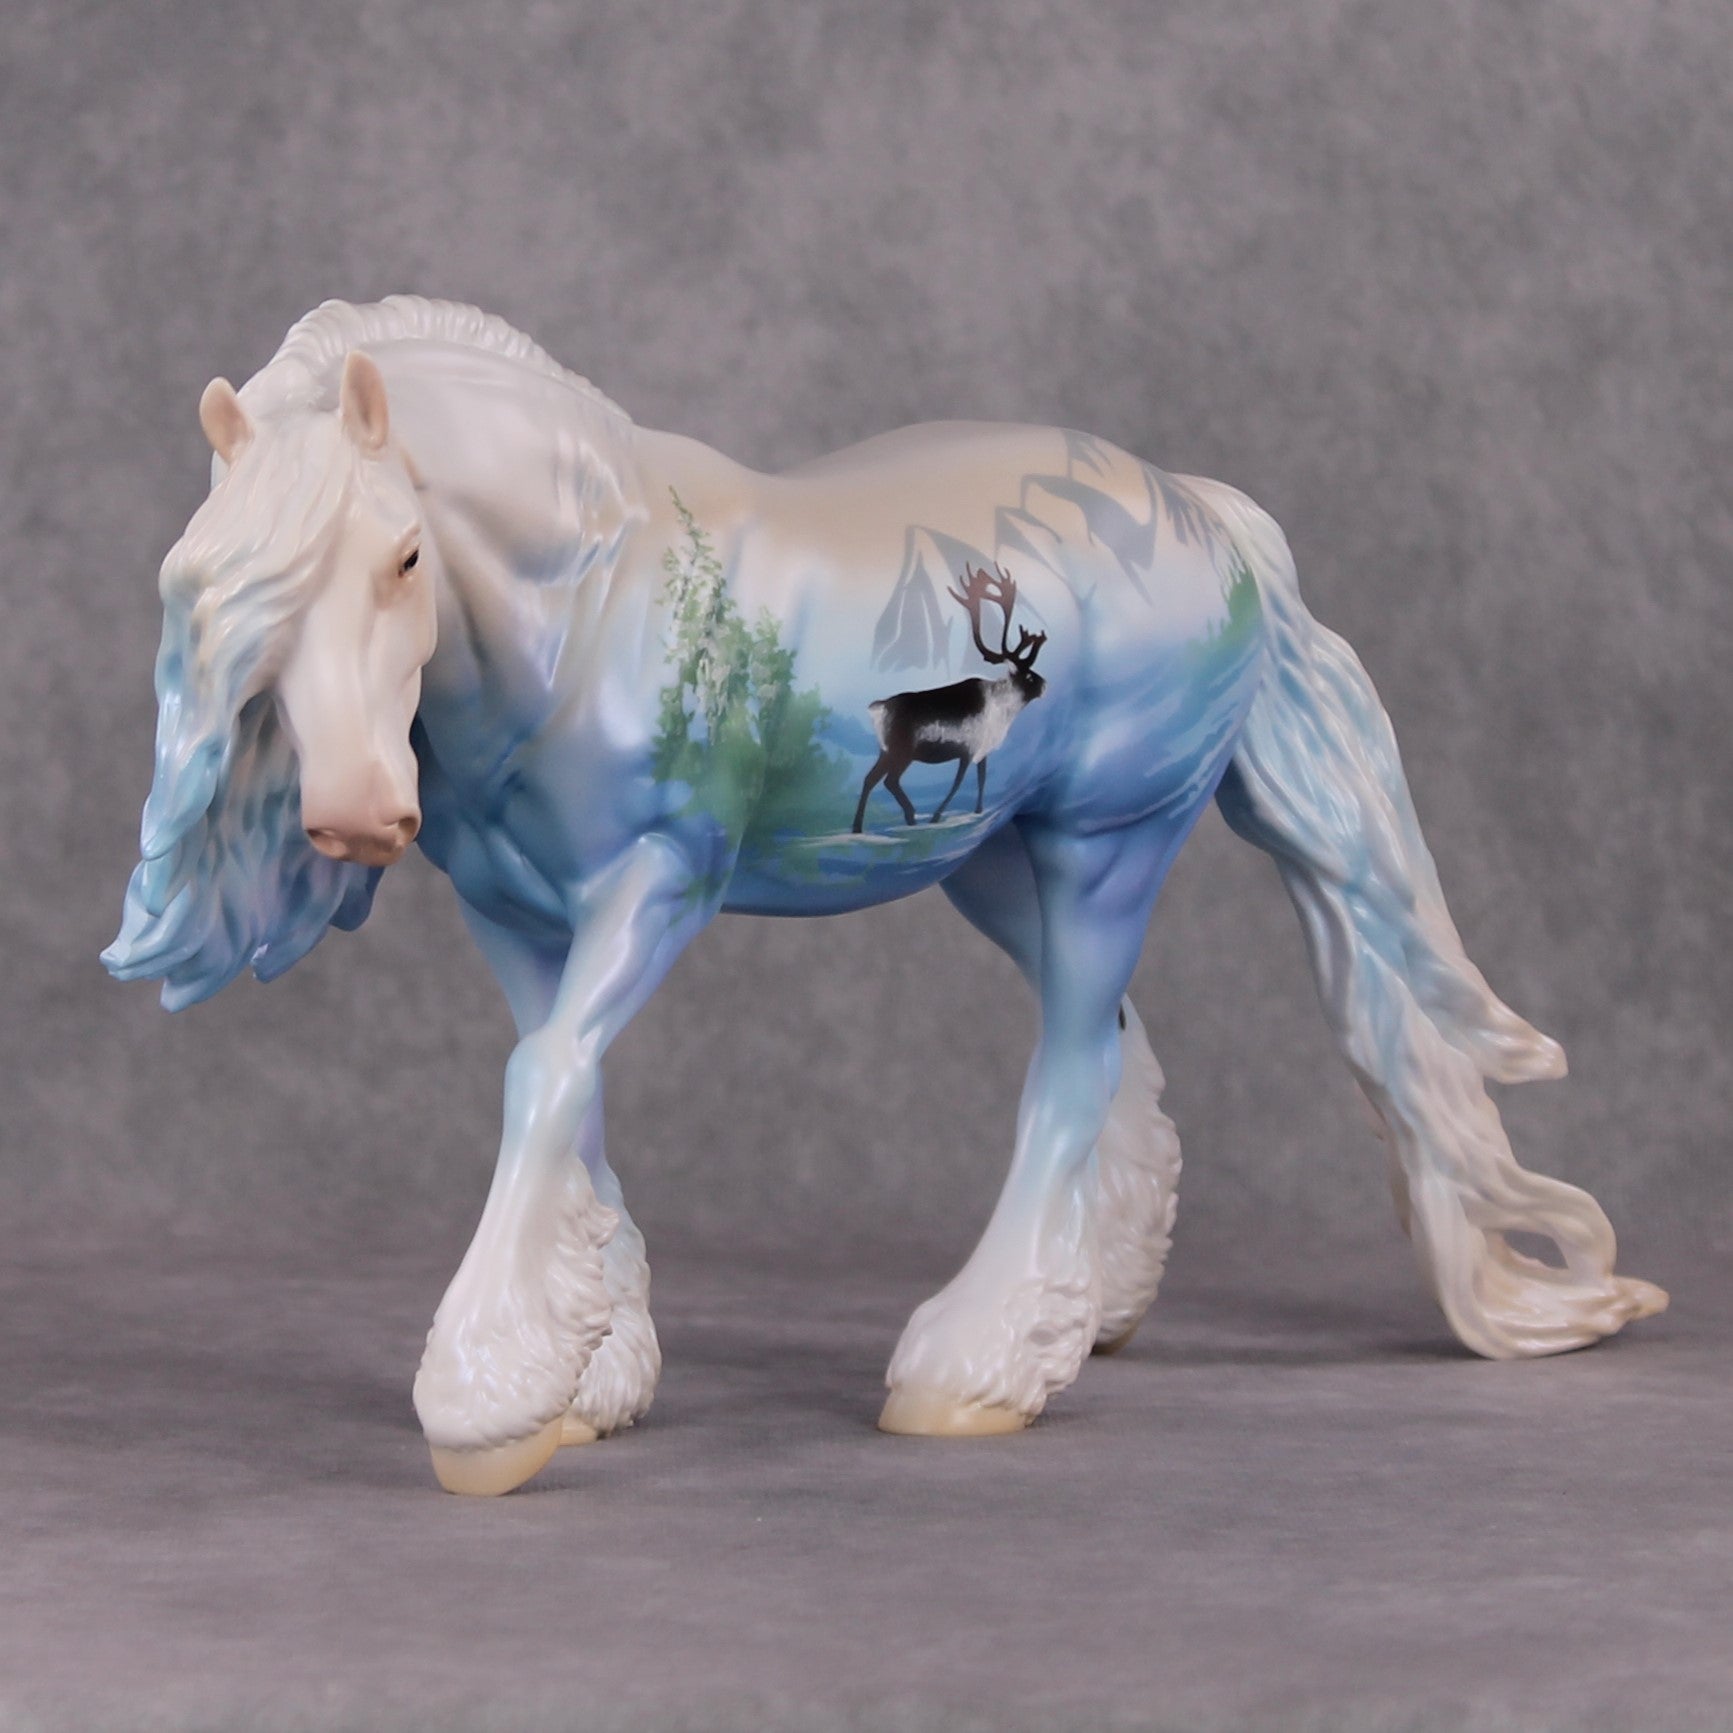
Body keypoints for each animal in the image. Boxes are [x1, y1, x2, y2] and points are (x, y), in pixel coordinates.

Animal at [852, 562, 1048, 833]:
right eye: (1029, 676)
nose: (1046, 685)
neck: (1001, 709)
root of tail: (878, 708)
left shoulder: (982, 751)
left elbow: (981, 779)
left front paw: (977, 811)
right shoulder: (967, 749)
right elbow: (958, 783)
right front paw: (936, 817)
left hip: (885, 750)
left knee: (870, 778)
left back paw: (859, 828)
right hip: (901, 752)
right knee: (889, 780)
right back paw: (911, 816)